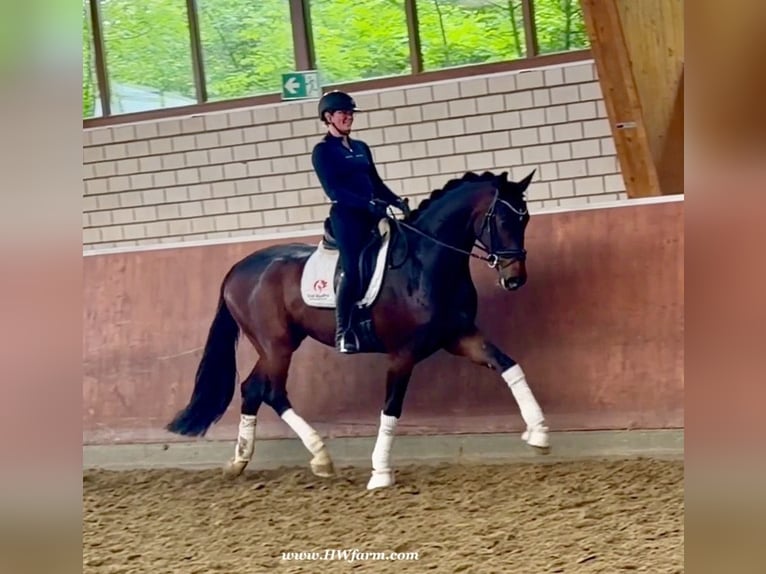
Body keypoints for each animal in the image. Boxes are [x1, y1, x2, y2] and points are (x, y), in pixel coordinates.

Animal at [165, 169, 550, 490]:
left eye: (526, 218)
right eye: (502, 219)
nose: (515, 279)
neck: (424, 263)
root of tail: (237, 269)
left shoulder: (459, 336)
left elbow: (508, 365)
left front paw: (539, 433)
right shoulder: (403, 353)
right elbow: (391, 408)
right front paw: (380, 473)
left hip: (279, 343)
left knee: (252, 388)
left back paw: (241, 461)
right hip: (276, 344)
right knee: (272, 392)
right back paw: (320, 456)